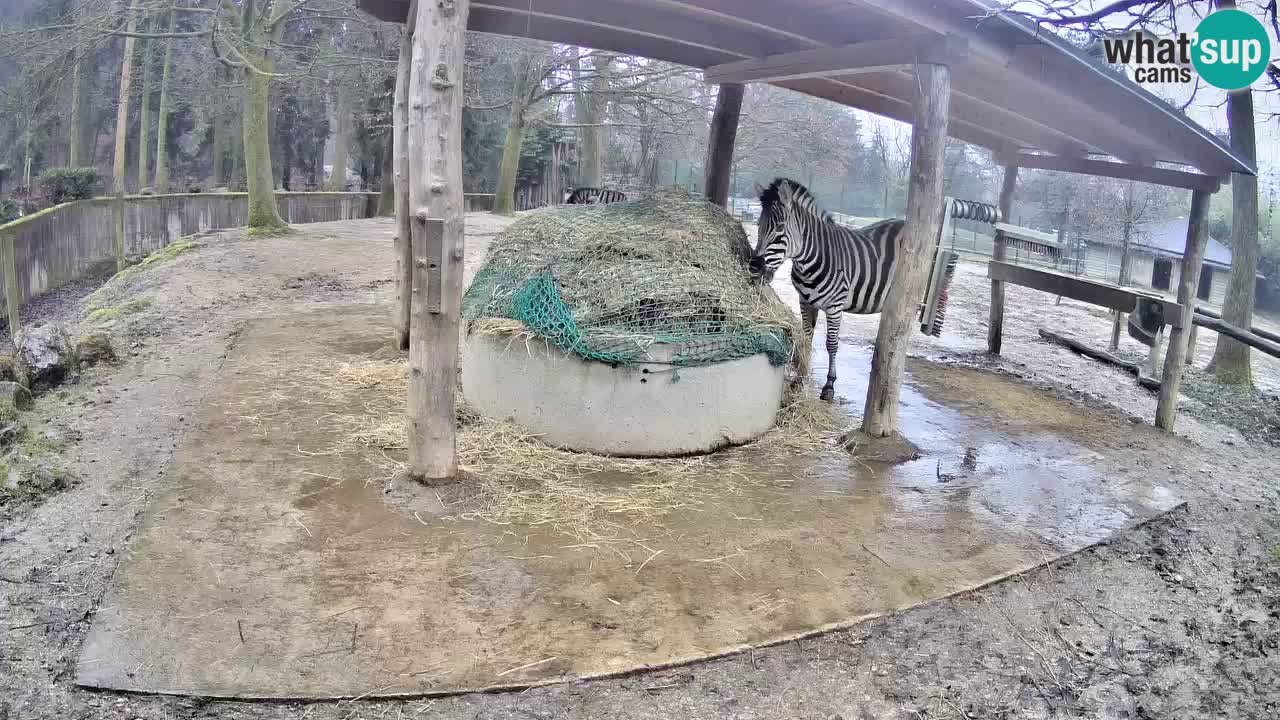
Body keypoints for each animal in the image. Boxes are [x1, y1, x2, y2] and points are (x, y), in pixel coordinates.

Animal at [750, 177, 906, 402]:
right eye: (758, 225)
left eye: (780, 228)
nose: (754, 267)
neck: (809, 259)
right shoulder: (805, 302)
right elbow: (806, 339)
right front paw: (799, 381)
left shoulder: (835, 306)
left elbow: (832, 344)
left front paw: (829, 386)